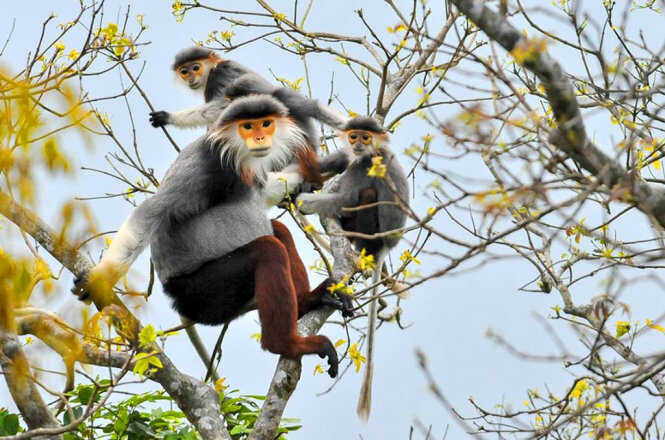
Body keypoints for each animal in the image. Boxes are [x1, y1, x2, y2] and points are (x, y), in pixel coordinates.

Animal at [296, 117, 410, 420]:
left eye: (366, 137)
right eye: (354, 136)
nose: (358, 143)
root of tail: (384, 247)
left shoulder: (367, 163)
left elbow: (345, 197)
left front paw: (304, 202)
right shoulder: (352, 157)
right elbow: (327, 163)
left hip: (371, 230)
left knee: (363, 195)